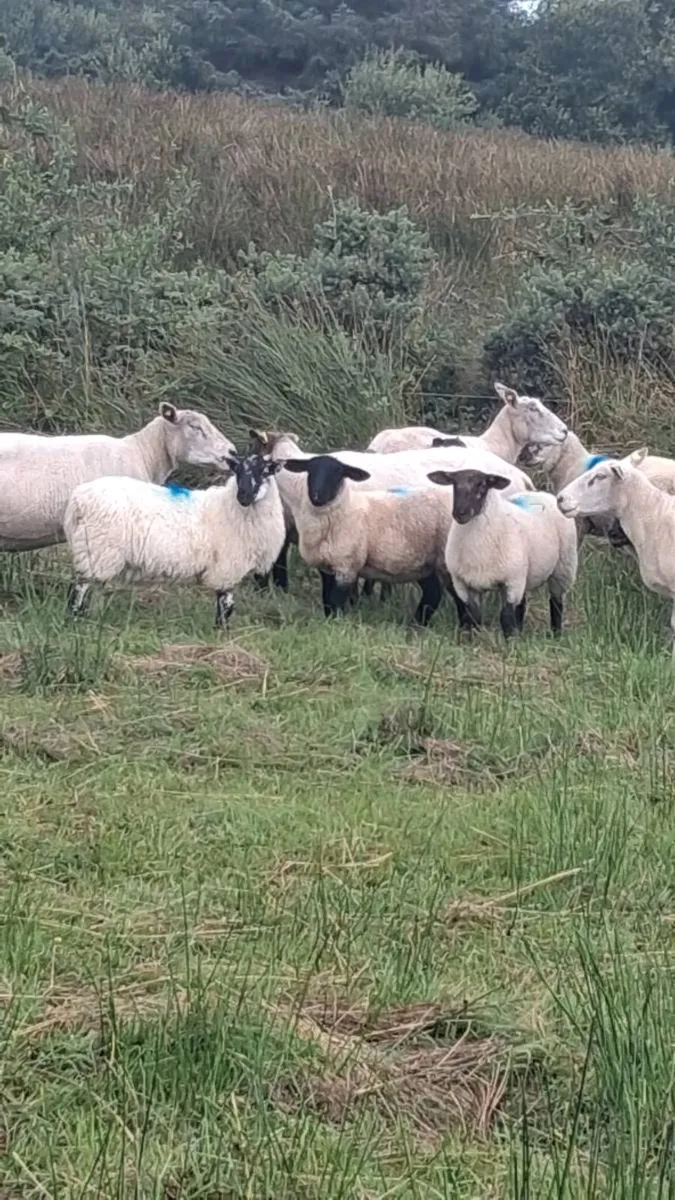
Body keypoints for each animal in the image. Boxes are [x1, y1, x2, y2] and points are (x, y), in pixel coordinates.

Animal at [63, 453, 285, 626]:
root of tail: (78, 500)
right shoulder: (227, 568)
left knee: (94, 587)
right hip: (96, 549)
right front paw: (221, 633)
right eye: (237, 471)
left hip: (99, 554)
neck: (229, 507)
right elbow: (226, 606)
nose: (244, 496)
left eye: (265, 472)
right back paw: (75, 621)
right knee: (78, 590)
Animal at [280, 453, 531, 626]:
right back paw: (418, 624)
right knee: (433, 593)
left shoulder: (347, 565)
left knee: (457, 598)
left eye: (338, 474)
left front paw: (335, 622)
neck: (344, 510)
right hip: (424, 562)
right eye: (310, 471)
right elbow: (327, 599)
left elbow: (336, 600)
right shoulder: (326, 567)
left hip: (445, 563)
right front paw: (328, 619)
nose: (316, 496)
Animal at [427, 468, 578, 637]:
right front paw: (473, 640)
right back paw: (521, 632)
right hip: (524, 574)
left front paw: (510, 641)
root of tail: (541, 493)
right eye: (454, 484)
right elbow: (472, 616)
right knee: (522, 605)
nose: (460, 513)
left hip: (563, 566)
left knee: (556, 601)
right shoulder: (463, 584)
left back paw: (556, 634)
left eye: (482, 485)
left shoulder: (511, 581)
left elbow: (506, 617)